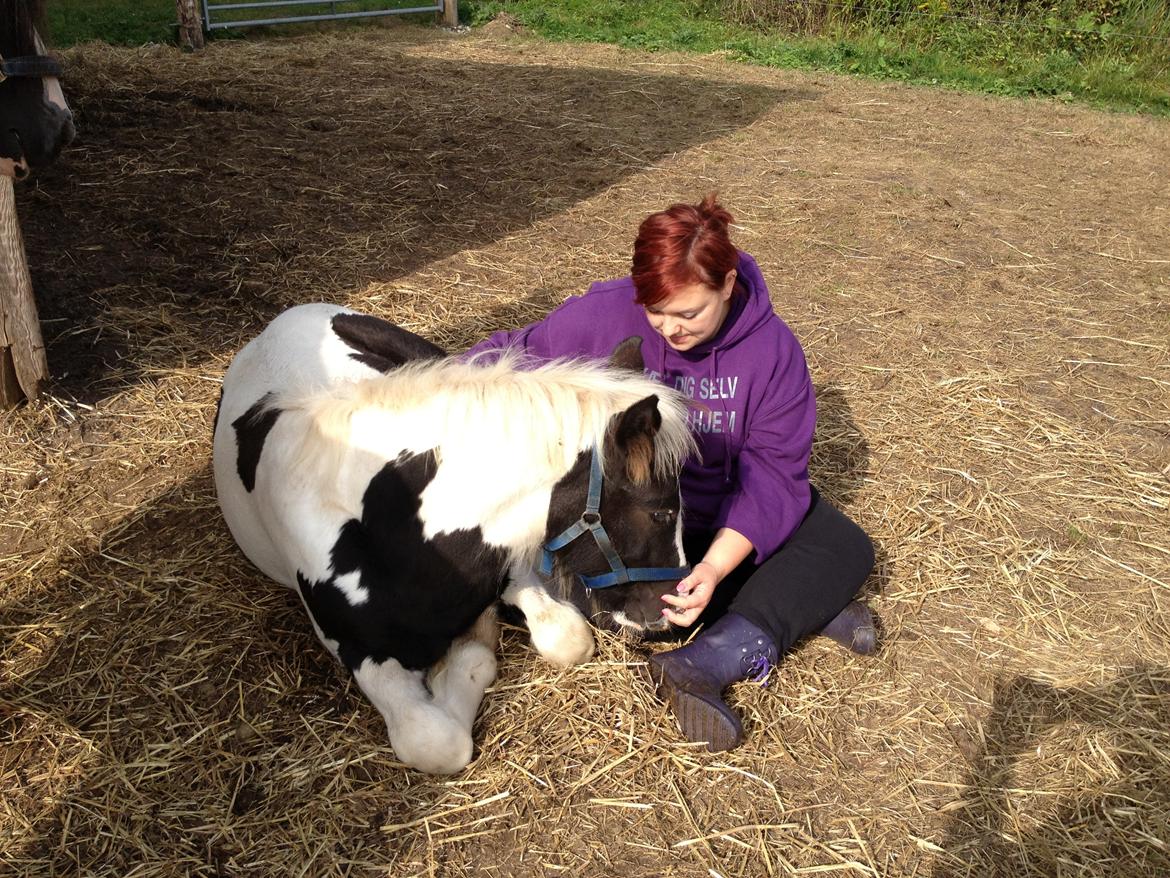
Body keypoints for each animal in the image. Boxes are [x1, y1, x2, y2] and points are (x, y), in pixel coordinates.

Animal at [212, 306, 692, 772]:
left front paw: (474, 641)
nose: (673, 609)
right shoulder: (359, 650)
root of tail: (274, 327)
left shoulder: (503, 558)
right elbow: (437, 742)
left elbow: (563, 637)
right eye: (661, 511)